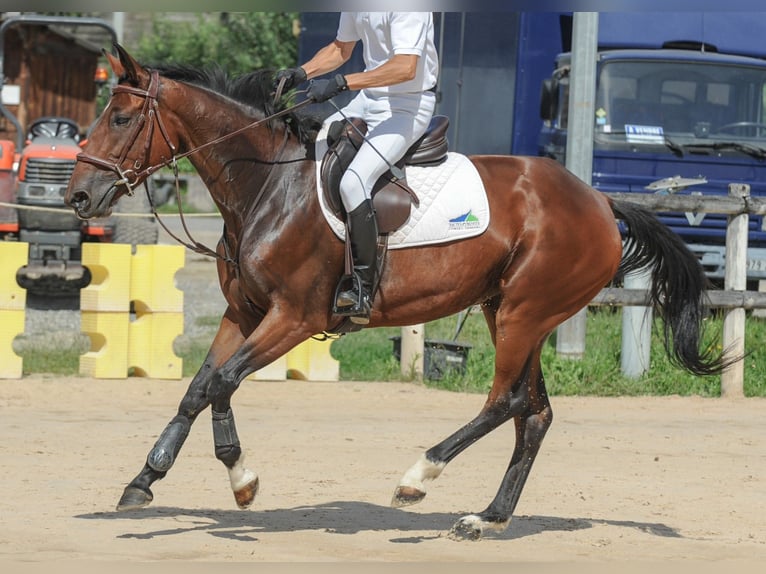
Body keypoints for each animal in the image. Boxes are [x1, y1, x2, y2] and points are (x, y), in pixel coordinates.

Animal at [66, 46, 732, 544]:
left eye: (120, 120)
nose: (78, 198)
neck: (267, 186)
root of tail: (598, 200)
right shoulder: (245, 311)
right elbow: (198, 389)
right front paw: (144, 481)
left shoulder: (293, 317)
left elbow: (224, 383)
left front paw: (242, 480)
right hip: (510, 309)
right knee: (535, 413)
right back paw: (487, 517)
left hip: (524, 312)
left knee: (506, 402)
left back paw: (419, 478)